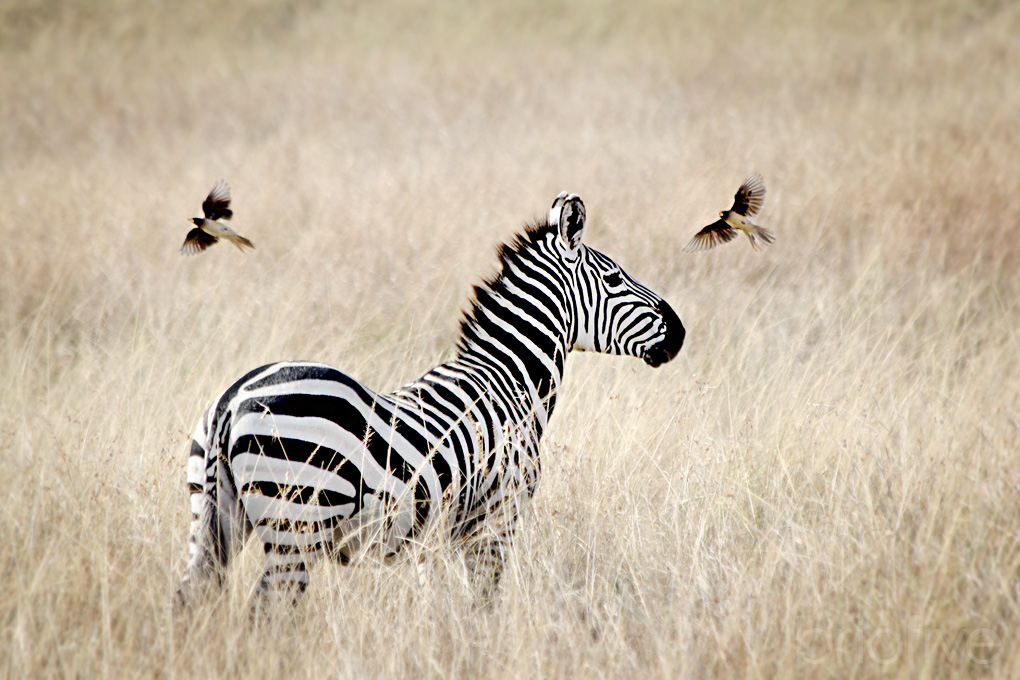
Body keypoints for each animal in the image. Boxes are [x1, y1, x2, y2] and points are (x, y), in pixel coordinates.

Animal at [175, 193, 685, 607]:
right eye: (616, 278)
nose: (680, 333)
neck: (510, 379)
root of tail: (232, 401)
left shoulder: (434, 536)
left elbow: (439, 601)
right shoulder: (496, 520)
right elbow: (483, 604)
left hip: (213, 514)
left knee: (192, 596)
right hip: (296, 522)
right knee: (270, 608)